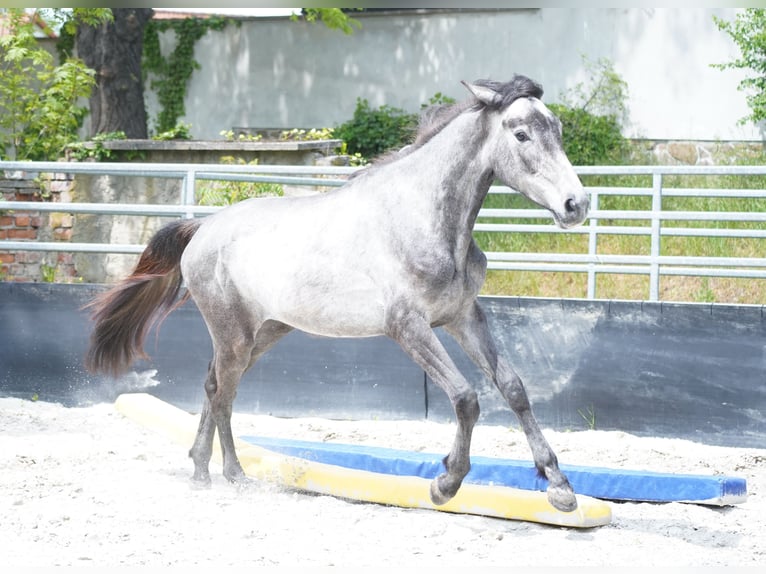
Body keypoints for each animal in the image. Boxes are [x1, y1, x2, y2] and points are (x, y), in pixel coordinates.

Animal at [85, 74, 589, 513]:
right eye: (521, 134)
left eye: (558, 130)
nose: (576, 205)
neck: (424, 218)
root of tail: (203, 229)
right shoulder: (408, 327)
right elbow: (466, 397)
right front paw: (445, 483)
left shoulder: (463, 316)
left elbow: (513, 388)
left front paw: (560, 488)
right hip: (234, 335)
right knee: (222, 392)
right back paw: (233, 474)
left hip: (264, 334)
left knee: (213, 387)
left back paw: (200, 470)